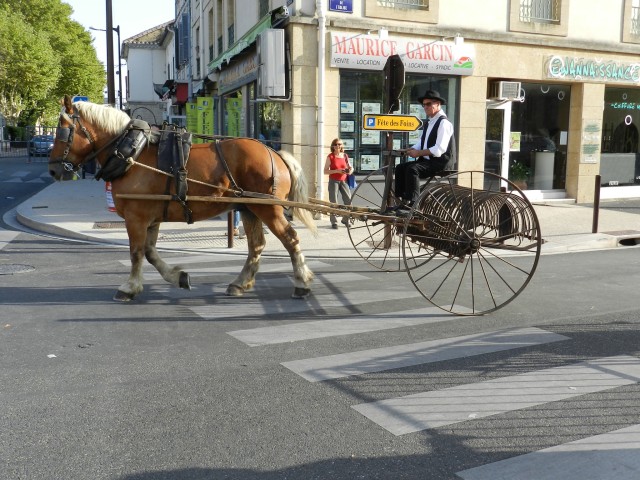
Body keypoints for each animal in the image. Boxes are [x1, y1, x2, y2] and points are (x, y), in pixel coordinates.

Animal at [46, 94, 316, 300]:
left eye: (62, 131)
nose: (53, 170)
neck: (131, 152)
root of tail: (275, 153)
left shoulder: (136, 217)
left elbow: (136, 253)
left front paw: (129, 287)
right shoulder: (151, 217)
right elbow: (150, 252)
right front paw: (178, 277)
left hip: (268, 208)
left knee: (290, 239)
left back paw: (301, 283)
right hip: (249, 208)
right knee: (257, 245)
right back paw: (240, 283)